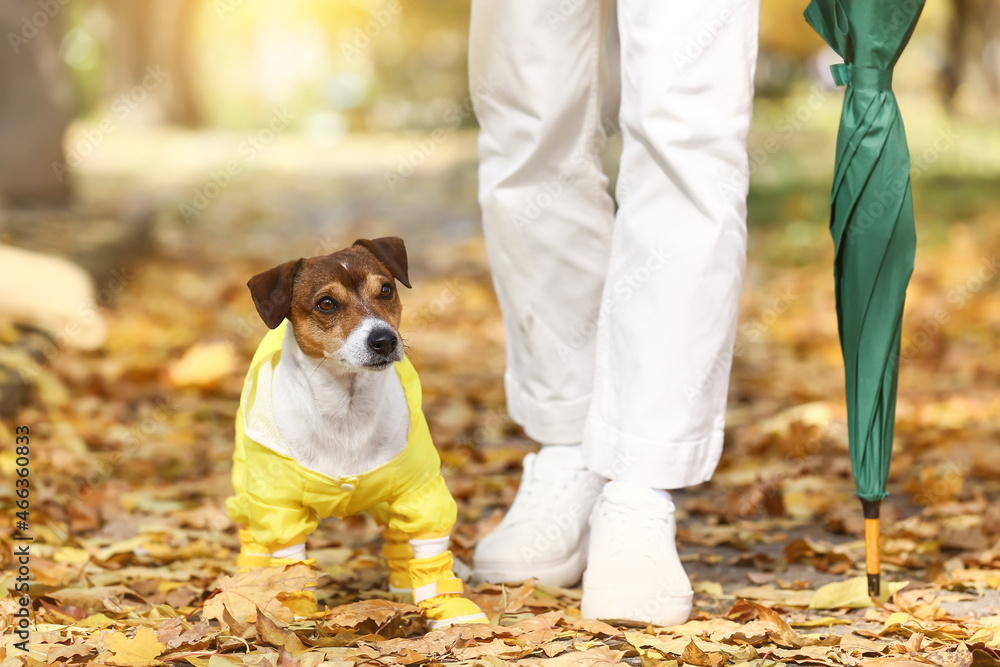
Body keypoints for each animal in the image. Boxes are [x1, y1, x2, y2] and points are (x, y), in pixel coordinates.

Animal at [230, 237, 488, 628]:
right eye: (326, 303)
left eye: (386, 290)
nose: (384, 340)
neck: (346, 411)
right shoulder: (279, 508)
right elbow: (292, 566)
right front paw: (295, 614)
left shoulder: (420, 492)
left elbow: (430, 553)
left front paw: (449, 610)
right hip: (248, 487)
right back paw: (250, 581)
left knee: (398, 537)